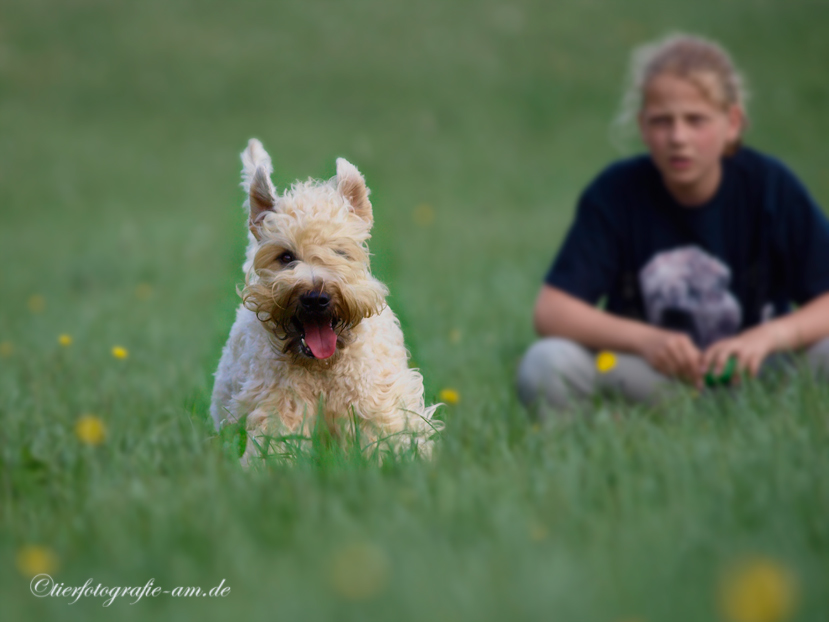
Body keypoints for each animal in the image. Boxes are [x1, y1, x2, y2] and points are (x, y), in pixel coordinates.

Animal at [209, 140, 440, 464]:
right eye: (286, 256)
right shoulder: (279, 405)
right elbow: (276, 446)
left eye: (340, 252)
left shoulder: (376, 403)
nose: (315, 298)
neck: (323, 369)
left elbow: (389, 440)